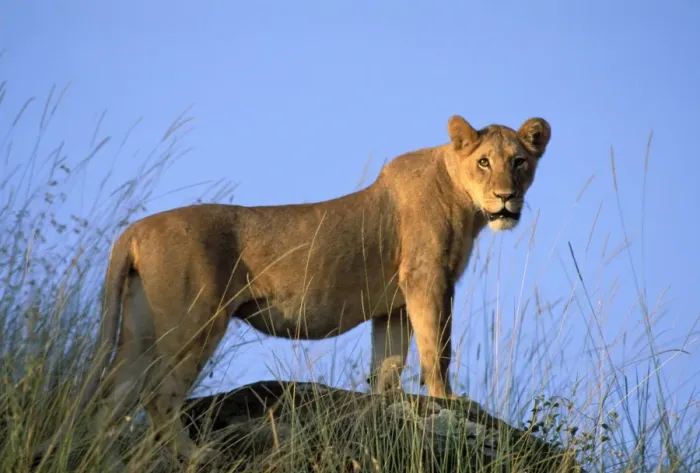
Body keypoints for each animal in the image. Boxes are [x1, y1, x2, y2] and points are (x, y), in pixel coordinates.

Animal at [54, 114, 551, 469]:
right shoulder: (428, 278)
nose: (506, 197)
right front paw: (449, 402)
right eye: (484, 162)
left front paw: (386, 411)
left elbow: (387, 364)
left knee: (113, 397)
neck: (461, 197)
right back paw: (197, 456)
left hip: (139, 330)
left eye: (519, 162)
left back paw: (108, 461)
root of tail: (133, 230)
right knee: (157, 396)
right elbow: (438, 349)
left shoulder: (392, 306)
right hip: (194, 321)